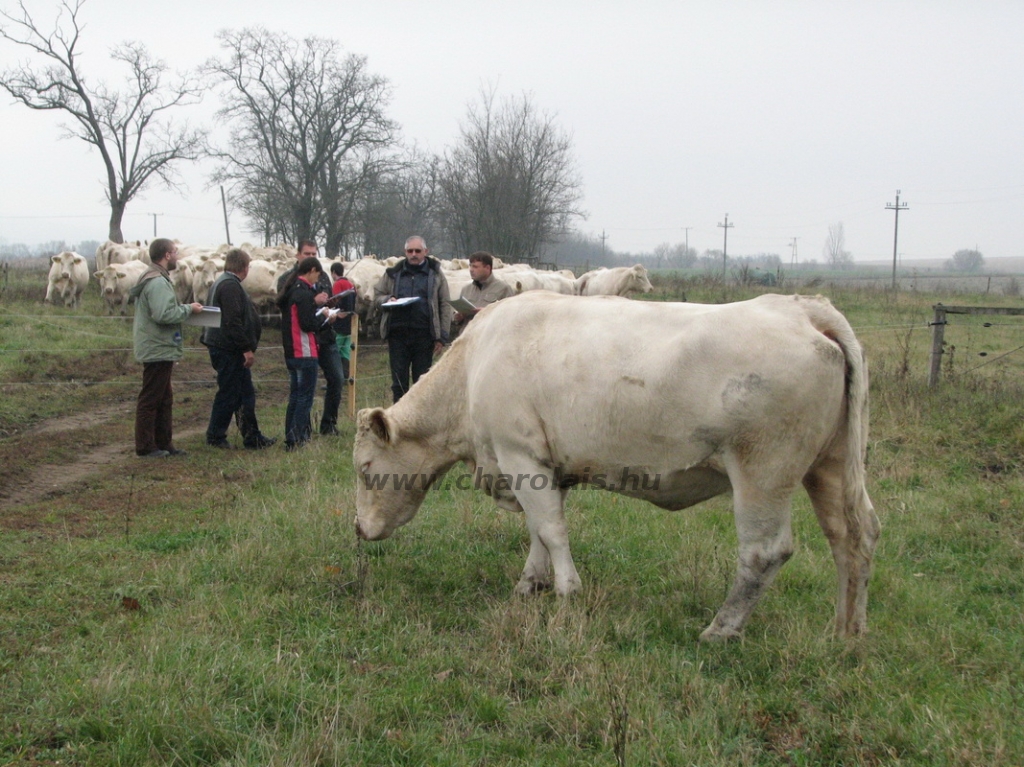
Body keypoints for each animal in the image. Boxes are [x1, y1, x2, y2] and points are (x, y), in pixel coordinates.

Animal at [354, 292, 880, 638]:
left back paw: (721, 629)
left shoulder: (519, 453)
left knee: (765, 551)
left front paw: (568, 591)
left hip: (764, 471)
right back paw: (846, 633)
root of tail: (803, 308)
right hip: (831, 465)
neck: (472, 369)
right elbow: (539, 530)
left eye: (363, 467)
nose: (359, 529)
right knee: (853, 536)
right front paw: (530, 584)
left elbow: (552, 531)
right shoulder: (545, 466)